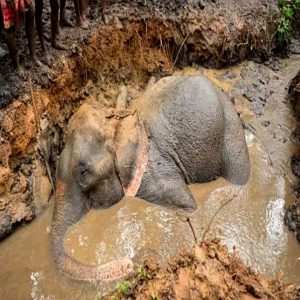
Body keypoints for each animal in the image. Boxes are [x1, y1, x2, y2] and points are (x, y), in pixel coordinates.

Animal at [51, 75, 251, 284]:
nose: (131, 262)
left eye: (83, 172)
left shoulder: (153, 176)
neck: (119, 127)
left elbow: (188, 205)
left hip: (231, 131)